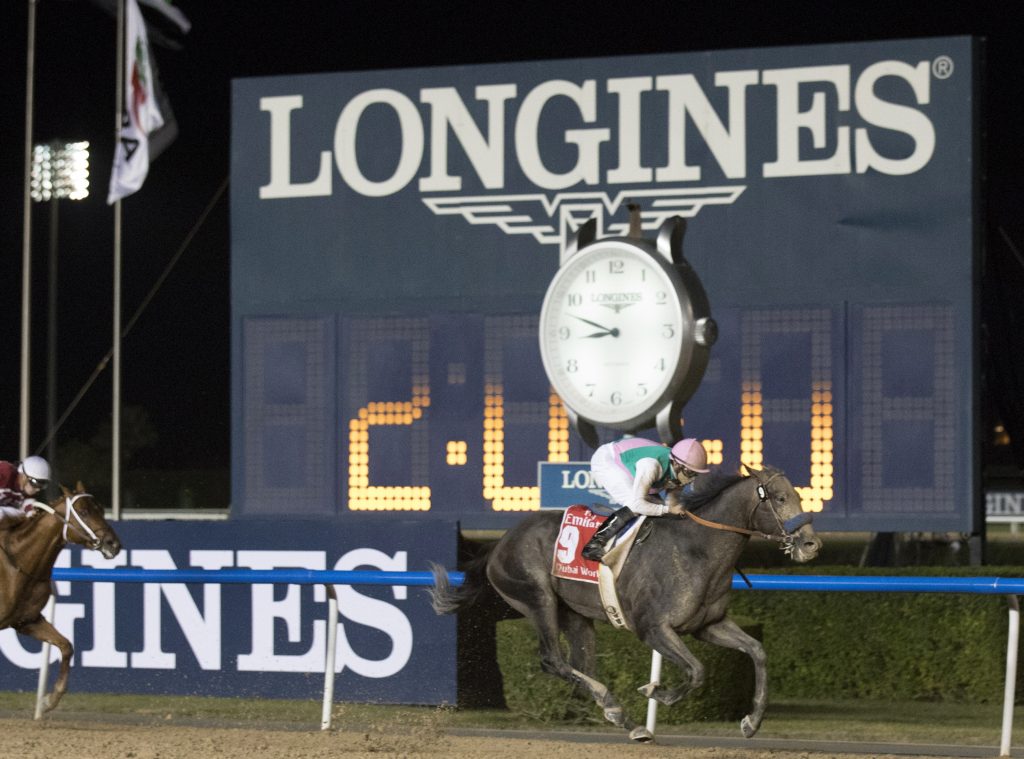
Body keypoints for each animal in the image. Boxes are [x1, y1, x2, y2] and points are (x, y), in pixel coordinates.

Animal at [0, 485, 120, 708]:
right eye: (83, 511)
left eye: (100, 509)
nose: (113, 544)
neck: (19, 563)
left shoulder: (26, 620)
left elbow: (66, 646)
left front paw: (50, 700)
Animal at [428, 460, 819, 741]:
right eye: (780, 498)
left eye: (799, 495)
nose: (811, 544)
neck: (697, 549)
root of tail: (500, 542)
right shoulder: (653, 628)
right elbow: (697, 671)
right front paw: (657, 691)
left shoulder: (708, 625)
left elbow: (757, 652)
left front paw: (752, 721)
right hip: (538, 599)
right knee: (553, 660)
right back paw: (617, 708)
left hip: (575, 615)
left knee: (580, 665)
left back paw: (628, 722)